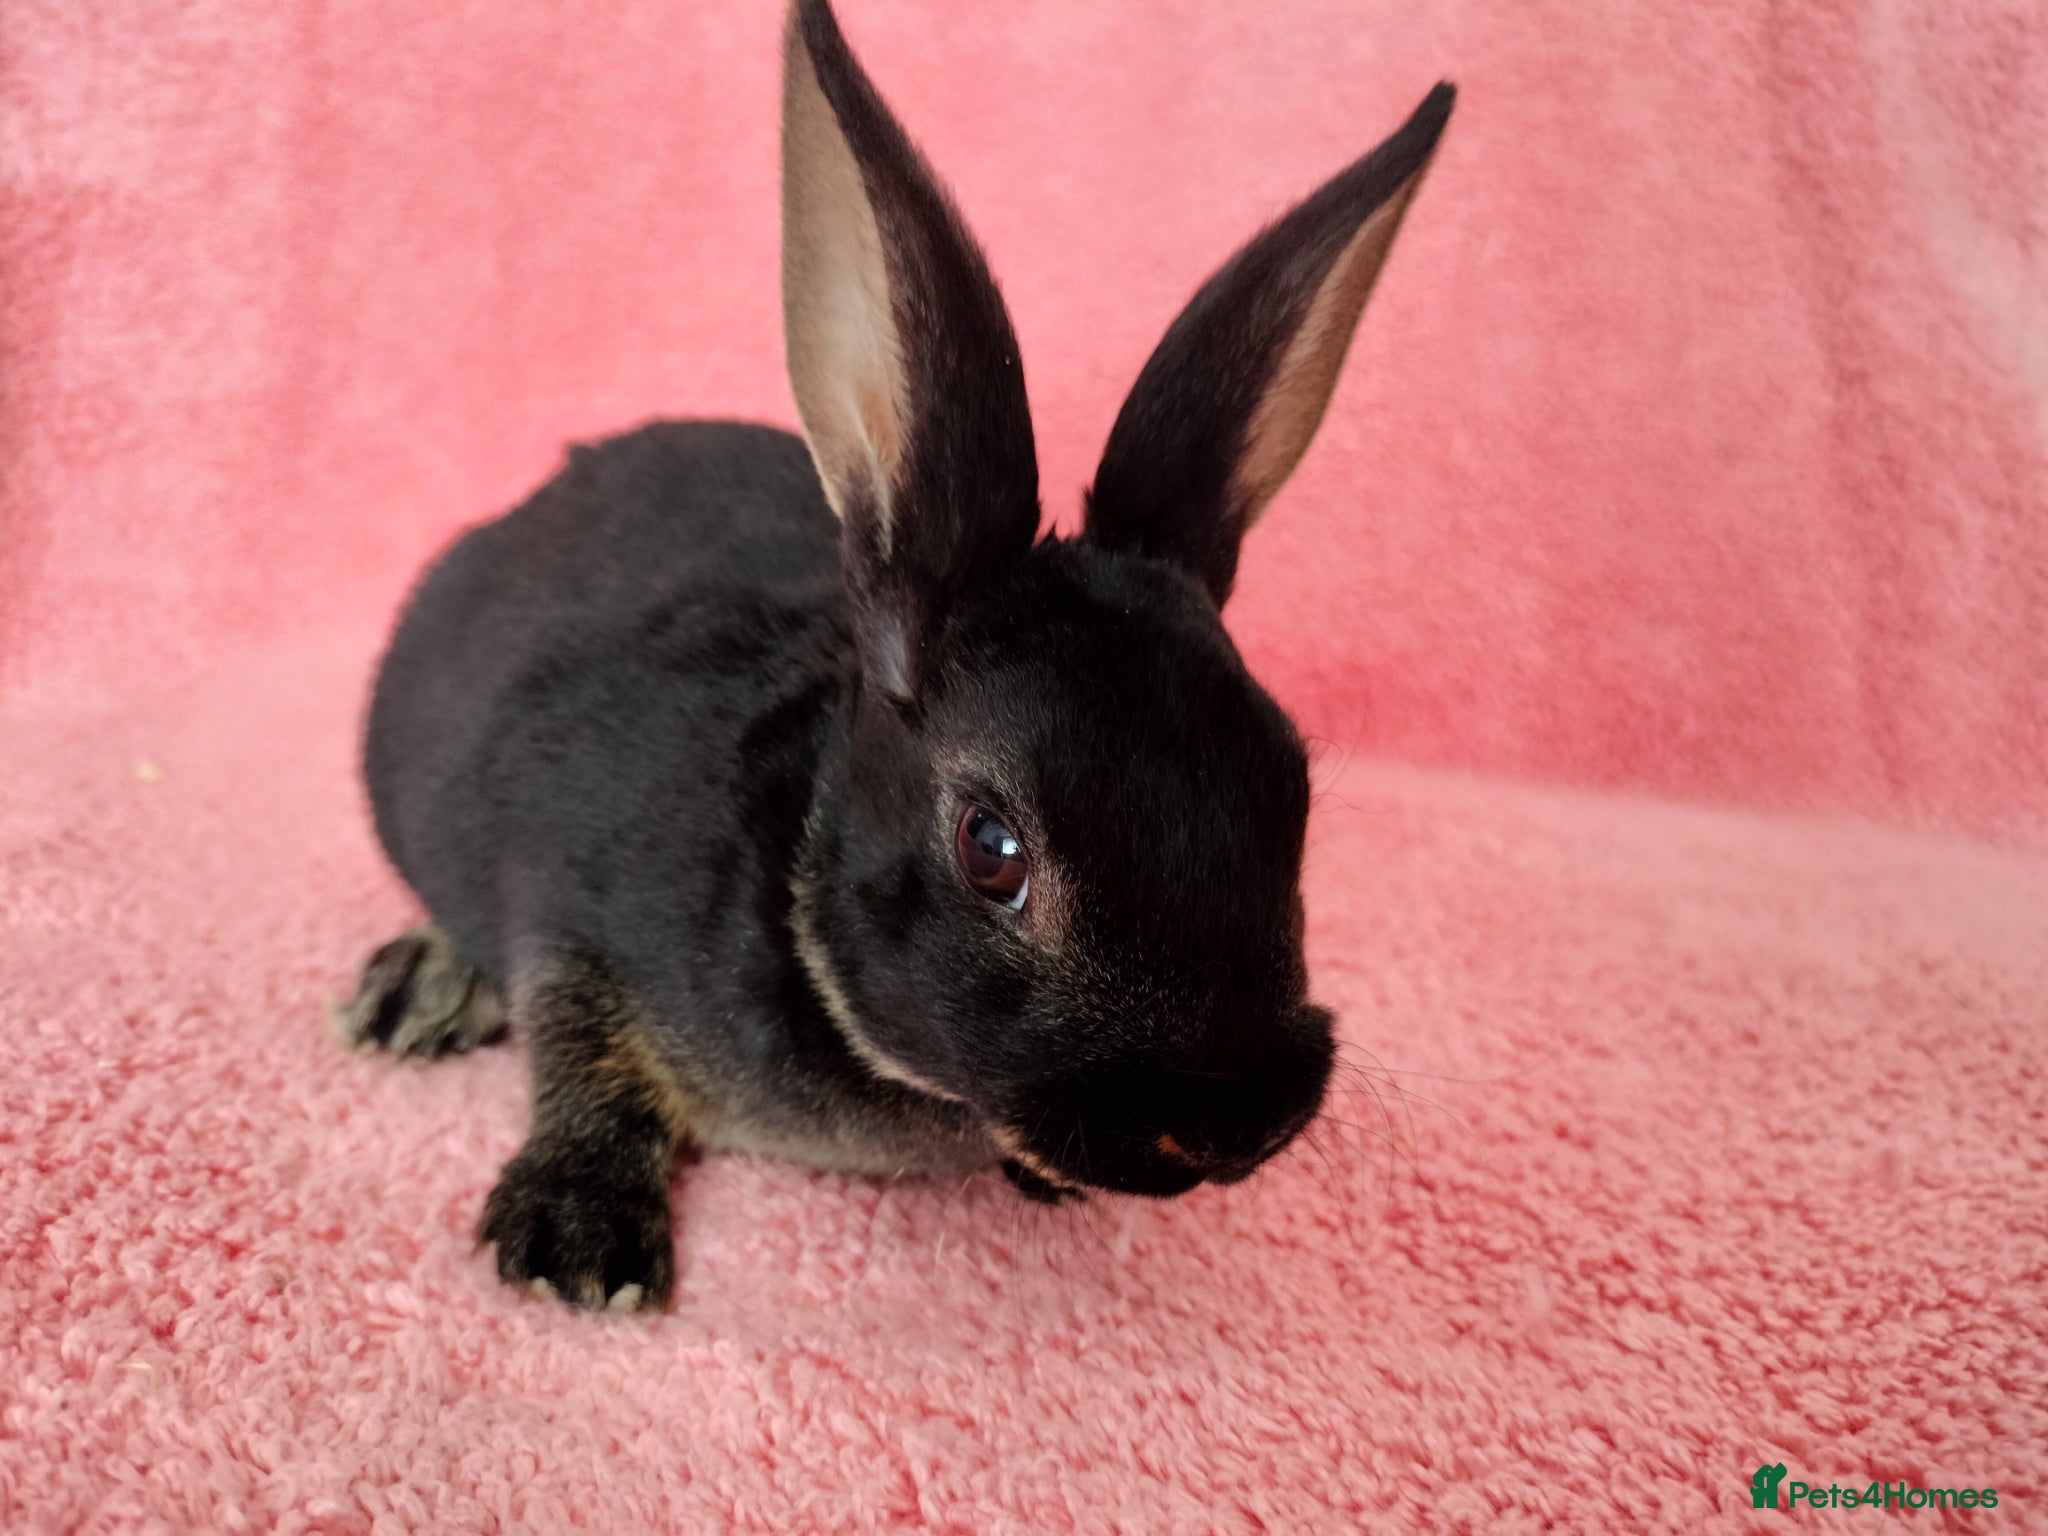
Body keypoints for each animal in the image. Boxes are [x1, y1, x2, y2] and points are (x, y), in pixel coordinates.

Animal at [339, 0, 1453, 1312]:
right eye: (989, 847)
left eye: (1291, 792)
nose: (1237, 1120)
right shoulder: (569, 895)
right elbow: (575, 1038)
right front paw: (577, 1241)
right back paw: (417, 991)